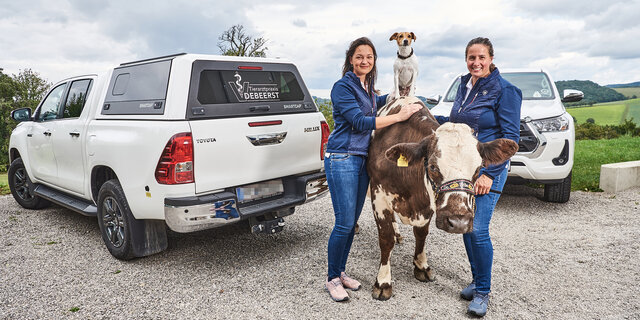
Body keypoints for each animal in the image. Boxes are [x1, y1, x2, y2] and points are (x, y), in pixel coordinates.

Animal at [368, 97, 516, 300]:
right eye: (432, 167)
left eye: (479, 169)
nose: (459, 222)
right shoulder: (379, 197)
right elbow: (385, 239)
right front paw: (383, 282)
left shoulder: (429, 205)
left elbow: (421, 234)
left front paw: (421, 266)